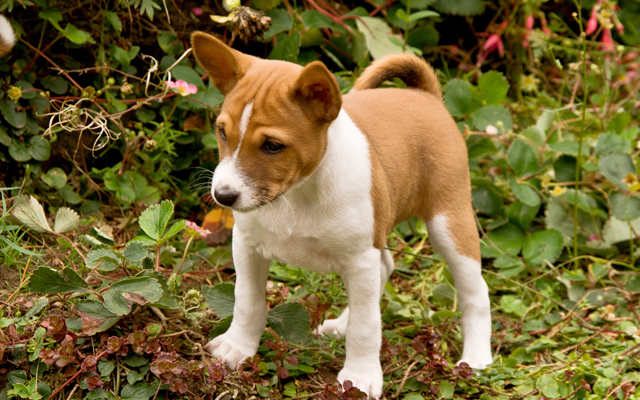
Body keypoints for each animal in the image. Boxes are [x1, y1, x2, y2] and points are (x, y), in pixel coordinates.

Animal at [192, 30, 492, 396]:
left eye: (273, 146)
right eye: (223, 131)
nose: (223, 195)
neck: (297, 195)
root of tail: (425, 96)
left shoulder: (360, 259)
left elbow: (367, 327)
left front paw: (360, 377)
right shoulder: (247, 246)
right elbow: (247, 301)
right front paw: (238, 347)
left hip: (448, 225)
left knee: (475, 292)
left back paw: (476, 358)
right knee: (384, 269)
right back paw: (340, 324)